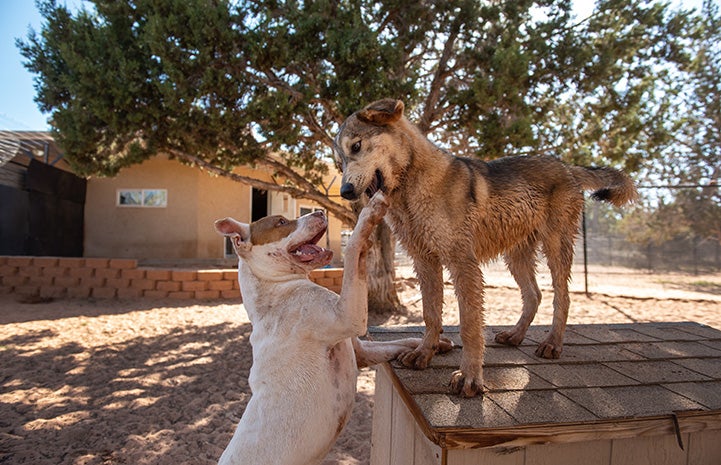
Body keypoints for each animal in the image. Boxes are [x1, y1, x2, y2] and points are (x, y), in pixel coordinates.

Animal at [212, 192, 444, 464]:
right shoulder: (348, 316)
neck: (276, 289)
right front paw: (370, 211)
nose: (319, 212)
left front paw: (430, 346)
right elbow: (353, 246)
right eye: (281, 222)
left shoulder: (362, 351)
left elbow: (399, 343)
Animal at [332, 98, 636, 396]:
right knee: (534, 294)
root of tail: (566, 166)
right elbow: (431, 315)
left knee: (562, 297)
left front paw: (470, 377)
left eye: (356, 146)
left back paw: (552, 343)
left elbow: (469, 326)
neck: (412, 185)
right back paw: (515, 335)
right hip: (516, 256)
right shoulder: (425, 262)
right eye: (339, 162)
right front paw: (424, 353)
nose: (345, 192)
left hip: (555, 247)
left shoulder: (463, 263)